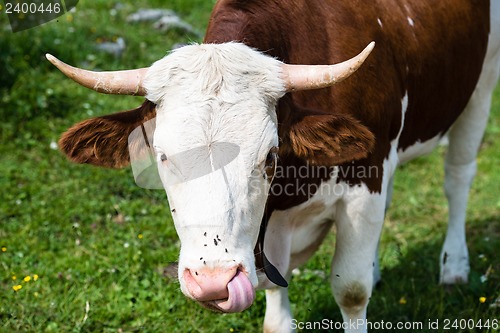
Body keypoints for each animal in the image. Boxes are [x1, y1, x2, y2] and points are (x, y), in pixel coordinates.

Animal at [45, 0, 498, 332]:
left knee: (458, 177)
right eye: (163, 157)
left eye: (269, 156)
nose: (213, 282)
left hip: (481, 84)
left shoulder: (364, 180)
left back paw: (454, 266)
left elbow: (352, 290)